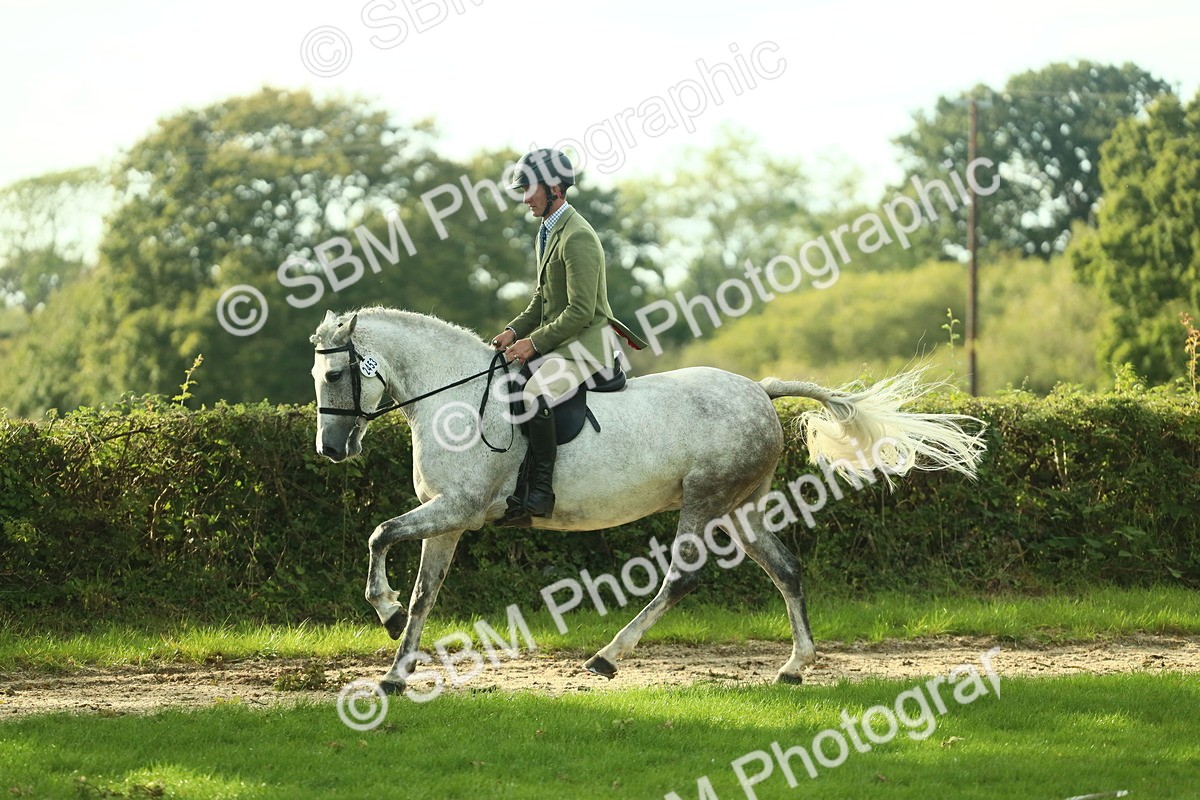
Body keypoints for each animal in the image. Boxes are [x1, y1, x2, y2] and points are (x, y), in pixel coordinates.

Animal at [309, 307, 986, 693]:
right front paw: (396, 669)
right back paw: (795, 666)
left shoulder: (458, 509)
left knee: (682, 578)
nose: (332, 449)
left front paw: (384, 612)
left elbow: (379, 535)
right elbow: (424, 593)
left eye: (336, 374)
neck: (455, 398)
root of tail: (759, 391)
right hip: (741, 508)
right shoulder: (446, 520)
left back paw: (608, 658)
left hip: (705, 502)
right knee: (787, 570)